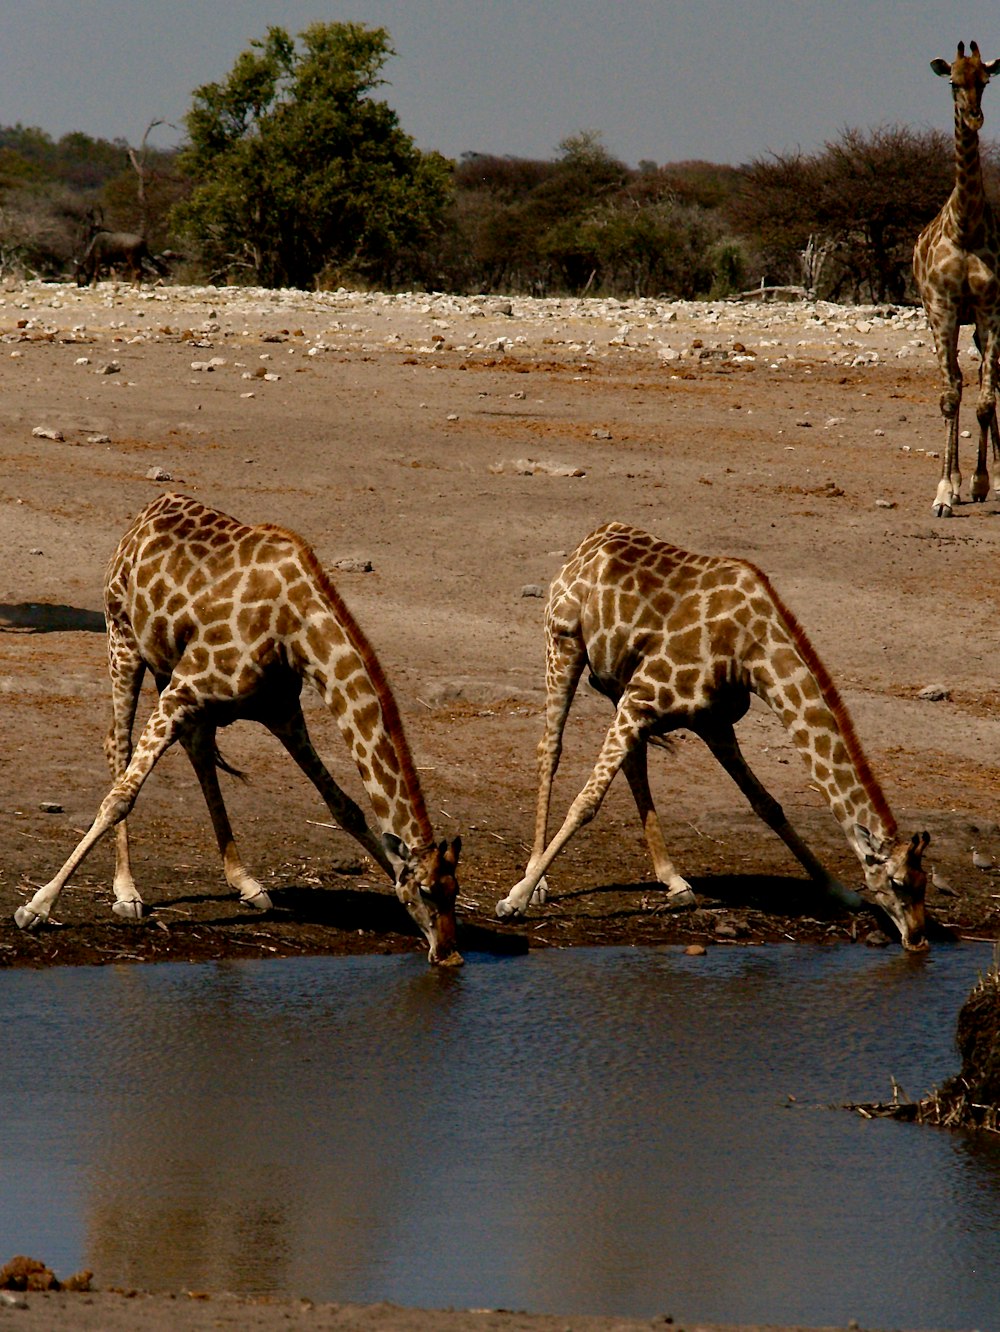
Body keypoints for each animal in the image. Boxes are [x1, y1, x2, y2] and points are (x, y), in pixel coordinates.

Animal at [14, 495, 466, 964]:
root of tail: (146, 514)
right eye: (428, 891)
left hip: (172, 674)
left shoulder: (281, 711)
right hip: (123, 640)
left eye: (454, 891)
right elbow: (120, 798)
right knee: (117, 746)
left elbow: (344, 806)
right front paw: (37, 906)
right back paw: (127, 891)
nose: (450, 953)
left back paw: (245, 882)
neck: (295, 628)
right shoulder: (183, 691)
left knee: (196, 750)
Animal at [498, 524, 937, 953]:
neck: (751, 650)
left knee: (634, 764)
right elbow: (586, 803)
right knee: (551, 749)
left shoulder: (711, 722)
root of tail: (588, 542)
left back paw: (674, 881)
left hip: (616, 682)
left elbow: (767, 804)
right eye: (897, 883)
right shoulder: (643, 697)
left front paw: (838, 891)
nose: (918, 939)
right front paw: (515, 899)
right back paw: (537, 878)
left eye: (924, 883)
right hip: (564, 644)